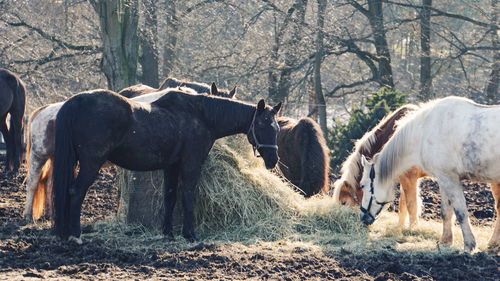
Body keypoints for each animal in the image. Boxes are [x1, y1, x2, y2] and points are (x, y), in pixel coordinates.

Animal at [52, 85, 284, 243]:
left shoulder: (171, 166)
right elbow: (188, 196)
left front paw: (168, 233)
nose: (273, 160)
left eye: (277, 128)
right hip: (91, 163)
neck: (201, 116)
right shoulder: (191, 164)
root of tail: (77, 101)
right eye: (262, 125)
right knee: (76, 192)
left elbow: (170, 197)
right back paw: (75, 235)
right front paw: (189, 234)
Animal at [360, 96, 500, 252]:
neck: (425, 130)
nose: (363, 218)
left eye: (362, 186)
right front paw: (445, 241)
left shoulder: (449, 179)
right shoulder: (444, 179)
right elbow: (446, 212)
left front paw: (469, 245)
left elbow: (461, 212)